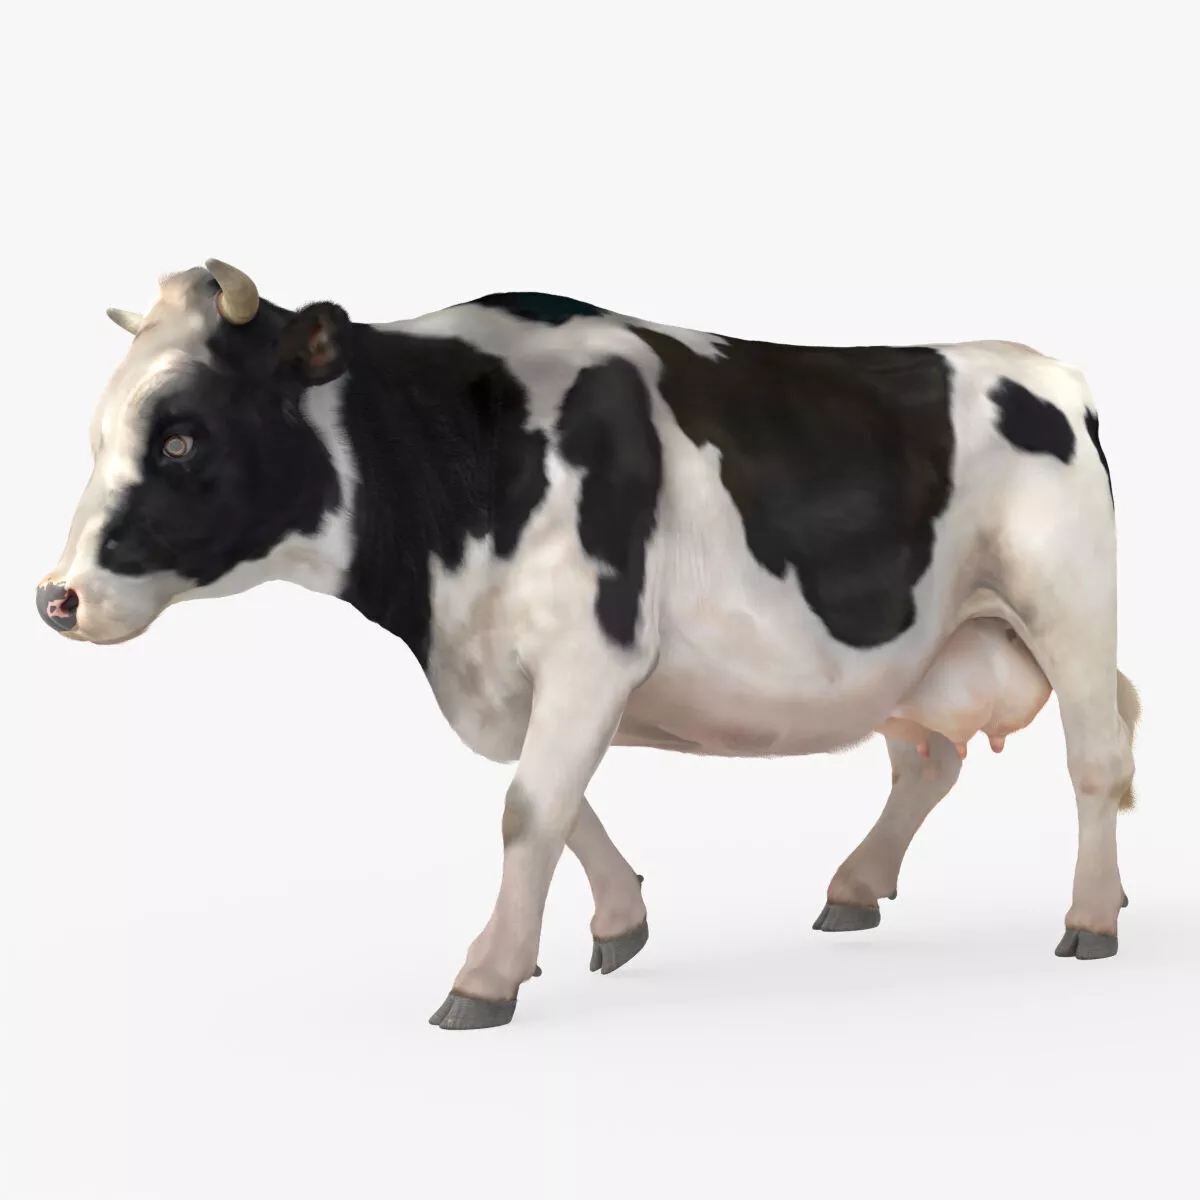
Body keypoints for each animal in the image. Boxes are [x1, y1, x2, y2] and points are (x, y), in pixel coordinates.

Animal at [36, 259, 1141, 1030]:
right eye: (98, 437)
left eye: (181, 437)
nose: (58, 597)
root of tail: (1046, 371)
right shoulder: (508, 672)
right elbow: (553, 802)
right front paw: (616, 924)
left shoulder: (591, 649)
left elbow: (528, 809)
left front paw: (483, 978)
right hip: (929, 647)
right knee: (928, 760)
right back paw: (857, 889)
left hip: (1068, 604)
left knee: (1096, 754)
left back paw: (1092, 918)